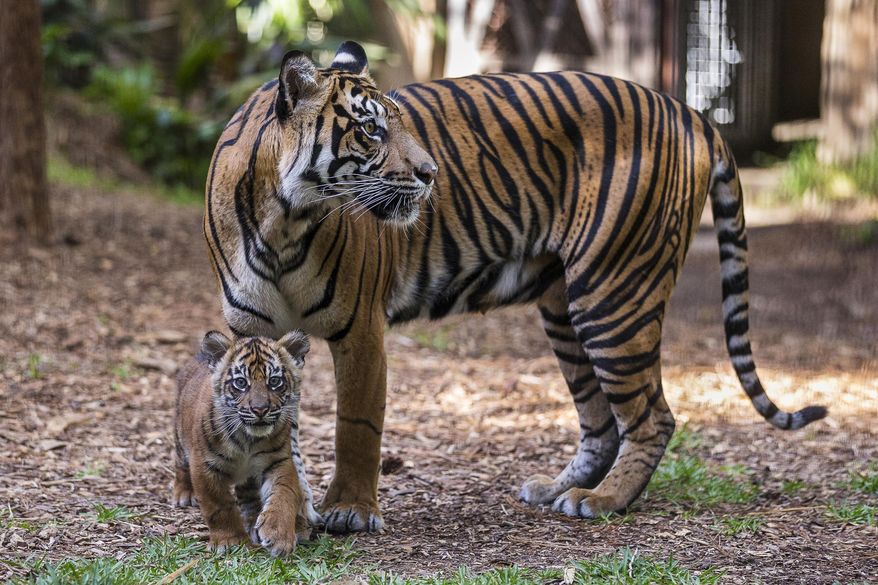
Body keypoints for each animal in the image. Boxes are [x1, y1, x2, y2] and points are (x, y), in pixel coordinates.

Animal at [173, 330, 320, 555]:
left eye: (274, 381)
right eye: (241, 383)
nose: (260, 409)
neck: (247, 439)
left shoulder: (279, 461)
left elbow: (284, 494)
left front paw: (278, 535)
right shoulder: (204, 466)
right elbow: (219, 505)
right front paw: (230, 541)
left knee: (249, 497)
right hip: (181, 442)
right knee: (180, 464)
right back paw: (184, 493)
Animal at [203, 41, 826, 532]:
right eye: (372, 129)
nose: (431, 174)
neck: (284, 220)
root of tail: (690, 110)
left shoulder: (360, 330)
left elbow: (356, 426)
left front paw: (349, 510)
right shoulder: (255, 334)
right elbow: (273, 426)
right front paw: (280, 506)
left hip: (613, 293)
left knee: (653, 416)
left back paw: (601, 500)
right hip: (564, 308)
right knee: (601, 420)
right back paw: (555, 490)